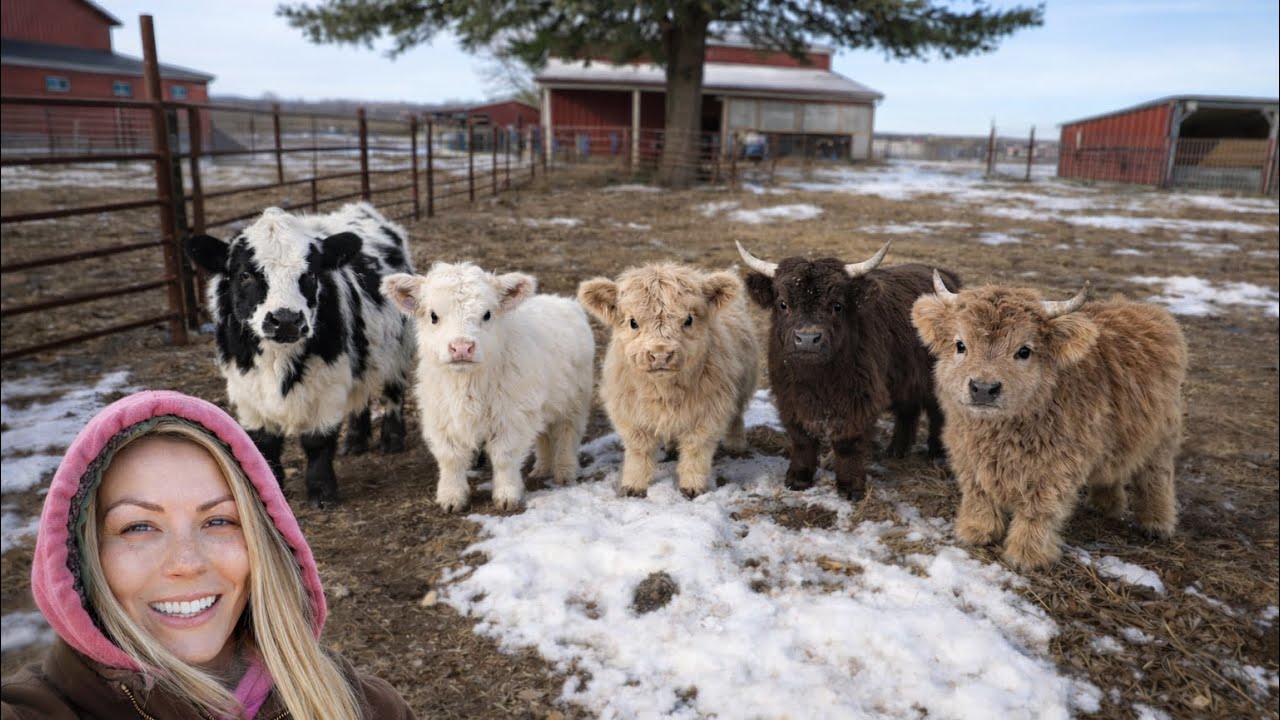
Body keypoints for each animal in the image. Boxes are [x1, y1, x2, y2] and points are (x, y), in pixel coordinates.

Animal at [186, 202, 415, 508]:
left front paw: (321, 492)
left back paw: (392, 438)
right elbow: (264, 444)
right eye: (245, 274)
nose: (285, 320)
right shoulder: (245, 389)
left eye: (310, 274)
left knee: (392, 390)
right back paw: (355, 440)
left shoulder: (328, 383)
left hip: (397, 347)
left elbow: (317, 441)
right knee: (360, 395)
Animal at [382, 263, 594, 512]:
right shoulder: (440, 418)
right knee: (543, 436)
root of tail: (562, 300)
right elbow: (450, 458)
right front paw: (451, 497)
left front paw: (507, 496)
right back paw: (541, 468)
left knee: (567, 436)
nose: (461, 347)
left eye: (487, 314)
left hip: (574, 403)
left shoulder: (512, 417)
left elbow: (505, 458)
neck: (467, 385)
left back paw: (565, 472)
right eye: (433, 315)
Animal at [578, 263, 758, 499]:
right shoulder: (630, 414)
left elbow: (695, 450)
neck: (665, 394)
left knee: (736, 416)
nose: (660, 354)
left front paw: (693, 487)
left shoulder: (707, 414)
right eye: (633, 322)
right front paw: (633, 486)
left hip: (742, 384)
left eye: (688, 319)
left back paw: (736, 445)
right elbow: (639, 451)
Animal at [736, 240, 961, 503]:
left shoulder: (859, 398)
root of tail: (946, 276)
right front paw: (798, 478)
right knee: (908, 410)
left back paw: (937, 454)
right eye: (783, 304)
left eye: (837, 305)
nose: (808, 339)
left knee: (938, 414)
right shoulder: (788, 397)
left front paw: (850, 487)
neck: (816, 379)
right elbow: (802, 438)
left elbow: (847, 443)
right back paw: (896, 450)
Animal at [911, 274, 1188, 570]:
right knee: (1111, 469)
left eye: (1024, 351)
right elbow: (978, 493)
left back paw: (1156, 523)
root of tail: (1146, 310)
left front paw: (1027, 555)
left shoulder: (1056, 466)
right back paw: (1105, 505)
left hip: (1163, 437)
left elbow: (1039, 508)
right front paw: (976, 531)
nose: (984, 388)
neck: (998, 436)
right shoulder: (965, 453)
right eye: (960, 345)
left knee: (1156, 479)